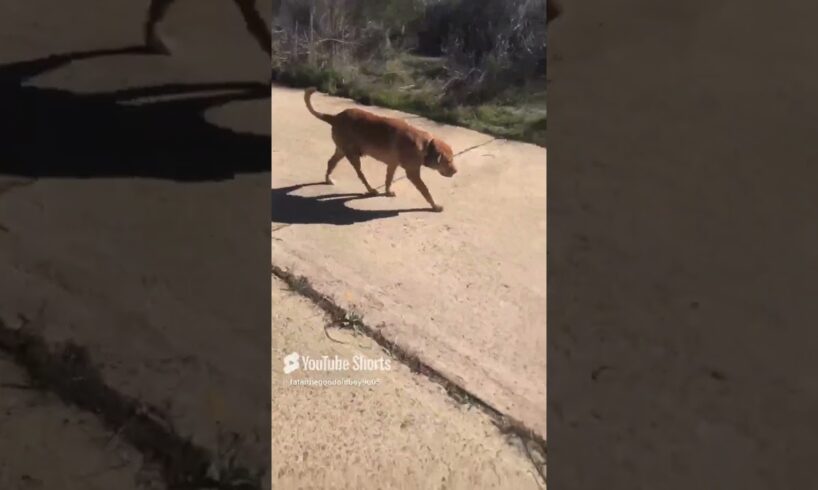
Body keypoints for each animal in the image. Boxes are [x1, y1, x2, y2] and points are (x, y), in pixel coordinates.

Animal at [302, 88, 456, 212]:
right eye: (448, 161)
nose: (456, 171)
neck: (426, 146)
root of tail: (335, 117)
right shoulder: (413, 174)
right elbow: (426, 191)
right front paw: (435, 206)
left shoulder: (392, 165)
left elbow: (388, 179)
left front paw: (387, 191)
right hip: (353, 156)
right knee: (361, 175)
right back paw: (370, 189)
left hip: (341, 151)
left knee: (331, 162)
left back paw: (328, 179)